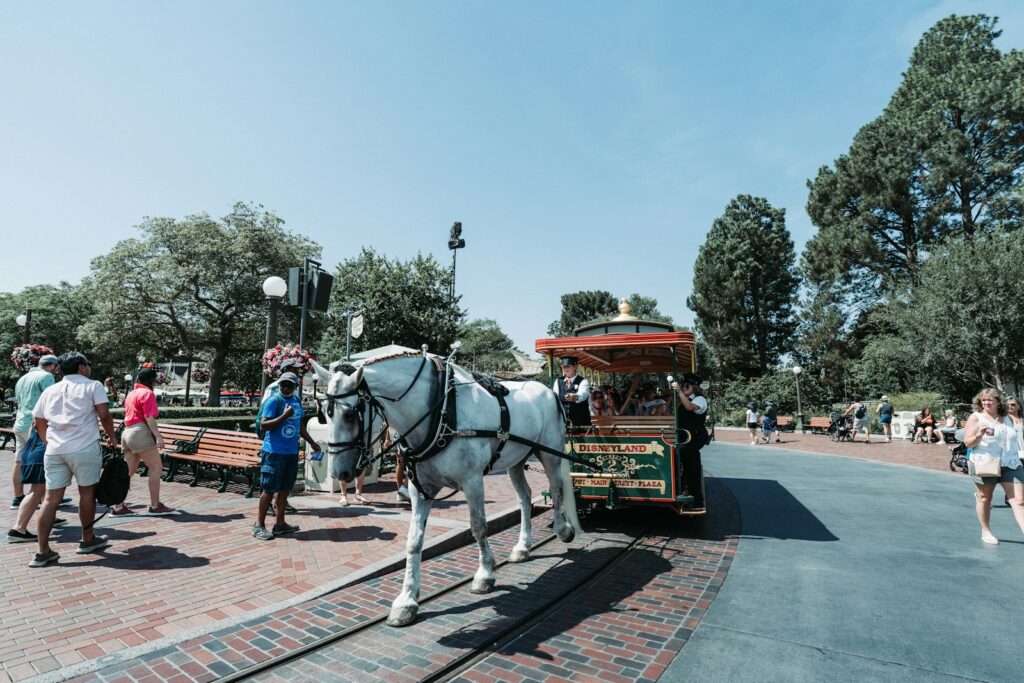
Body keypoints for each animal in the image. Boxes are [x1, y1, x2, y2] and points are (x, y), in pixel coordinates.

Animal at [313, 350, 577, 626]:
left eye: (350, 414)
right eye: (324, 414)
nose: (338, 473)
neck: (440, 411)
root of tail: (548, 391)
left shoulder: (473, 481)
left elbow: (479, 527)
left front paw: (484, 574)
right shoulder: (420, 489)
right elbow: (414, 540)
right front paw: (407, 600)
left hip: (550, 454)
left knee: (556, 490)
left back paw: (563, 529)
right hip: (515, 461)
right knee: (525, 498)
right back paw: (522, 547)